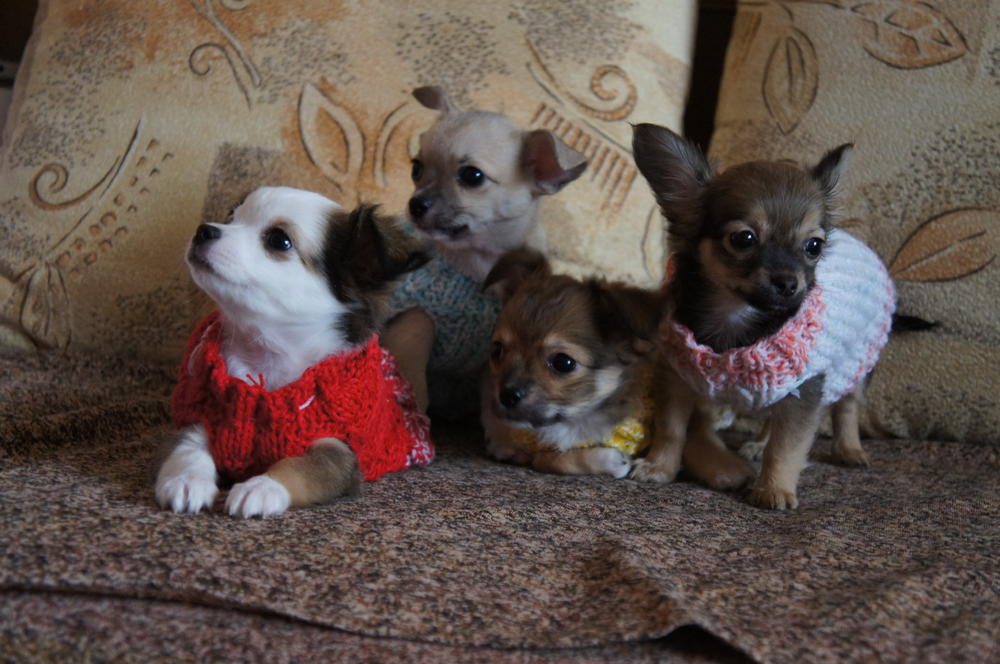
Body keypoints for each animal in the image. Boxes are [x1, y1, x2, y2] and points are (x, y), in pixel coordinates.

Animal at [155, 186, 433, 518]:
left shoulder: (339, 451)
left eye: (279, 240)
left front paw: (261, 487)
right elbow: (187, 449)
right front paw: (186, 481)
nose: (204, 230)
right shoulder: (197, 418)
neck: (266, 354)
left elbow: (300, 467)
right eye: (231, 217)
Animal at [381, 86, 587, 419]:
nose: (415, 205)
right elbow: (414, 377)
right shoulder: (416, 321)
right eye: (416, 168)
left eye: (472, 176)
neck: (478, 265)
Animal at [631, 123, 895, 510]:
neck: (735, 314)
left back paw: (849, 450)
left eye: (813, 246)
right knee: (774, 416)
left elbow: (787, 446)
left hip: (858, 358)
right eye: (743, 239)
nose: (788, 282)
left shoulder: (806, 387)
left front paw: (775, 489)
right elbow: (671, 429)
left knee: (847, 406)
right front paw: (659, 468)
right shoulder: (677, 375)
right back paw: (757, 444)